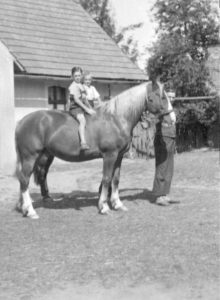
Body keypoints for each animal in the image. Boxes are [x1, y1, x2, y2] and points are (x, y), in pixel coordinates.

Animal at [15, 83, 165, 219]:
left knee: (29, 178)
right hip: (30, 157)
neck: (115, 119)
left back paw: (24, 207)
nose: (167, 112)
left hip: (40, 156)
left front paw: (117, 204)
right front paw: (103, 207)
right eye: (156, 96)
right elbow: (106, 179)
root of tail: (21, 121)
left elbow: (115, 179)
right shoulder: (110, 155)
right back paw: (31, 211)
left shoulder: (119, 156)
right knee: (24, 180)